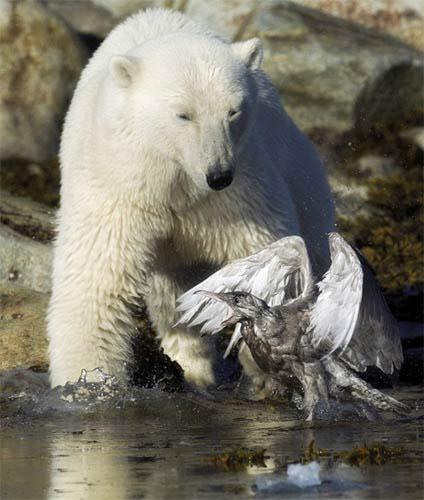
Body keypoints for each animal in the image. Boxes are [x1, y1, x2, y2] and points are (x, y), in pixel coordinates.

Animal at [47, 9, 334, 388]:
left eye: (233, 111)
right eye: (183, 114)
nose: (219, 174)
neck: (179, 179)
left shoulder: (244, 189)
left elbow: (264, 259)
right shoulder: (119, 184)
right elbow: (97, 281)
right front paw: (88, 382)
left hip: (301, 172)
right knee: (171, 297)